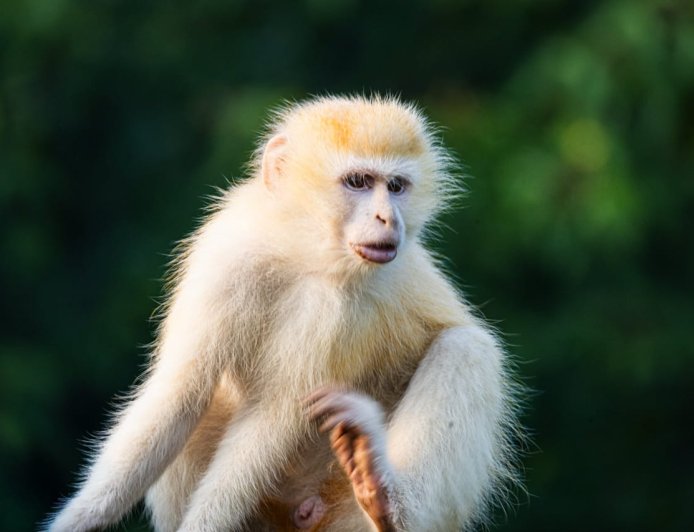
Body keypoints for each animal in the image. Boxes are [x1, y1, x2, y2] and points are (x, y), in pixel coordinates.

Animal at [46, 95, 520, 532]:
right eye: (359, 182)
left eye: (397, 187)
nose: (388, 219)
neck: (302, 253)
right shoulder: (228, 252)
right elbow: (182, 392)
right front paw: (81, 518)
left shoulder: (336, 310)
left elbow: (274, 416)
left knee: (467, 347)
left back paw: (386, 500)